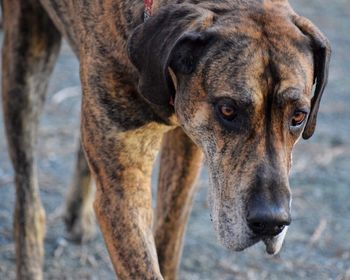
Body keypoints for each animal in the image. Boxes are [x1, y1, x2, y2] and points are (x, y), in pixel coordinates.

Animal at [0, 0, 328, 278]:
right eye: (227, 110)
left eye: (298, 116)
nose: (272, 222)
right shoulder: (122, 193)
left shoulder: (188, 145)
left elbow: (170, 231)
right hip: (25, 62)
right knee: (28, 197)